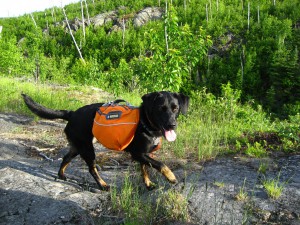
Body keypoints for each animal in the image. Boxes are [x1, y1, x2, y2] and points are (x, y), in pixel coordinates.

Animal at [22, 91, 189, 190]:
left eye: (175, 108)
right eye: (161, 109)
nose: (172, 124)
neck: (145, 122)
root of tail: (71, 113)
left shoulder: (145, 155)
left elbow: (145, 170)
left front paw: (148, 184)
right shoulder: (138, 153)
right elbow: (161, 164)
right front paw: (171, 177)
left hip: (77, 147)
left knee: (65, 158)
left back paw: (62, 175)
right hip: (88, 149)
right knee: (91, 169)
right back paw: (102, 185)